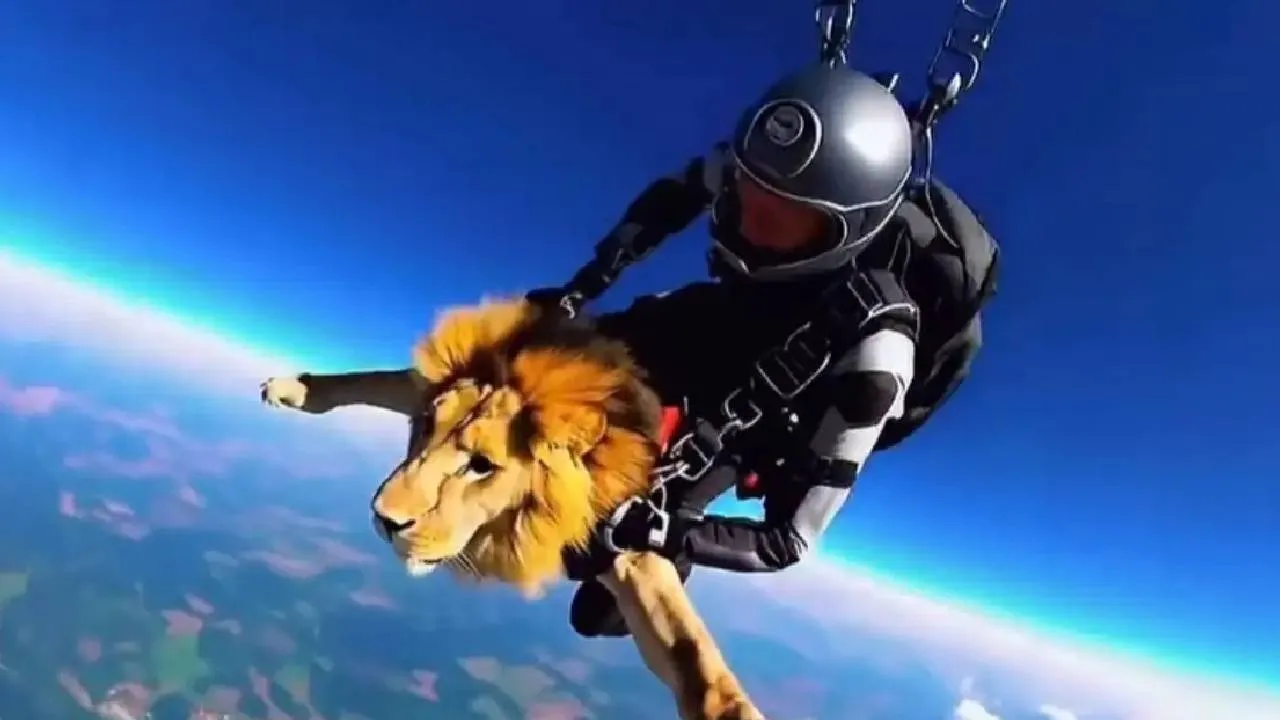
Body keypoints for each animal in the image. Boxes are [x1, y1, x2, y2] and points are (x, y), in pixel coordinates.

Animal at [262, 298, 765, 720]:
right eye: (426, 425)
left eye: (482, 465)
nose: (384, 520)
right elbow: (374, 380)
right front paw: (294, 389)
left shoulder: (627, 535)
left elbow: (692, 655)